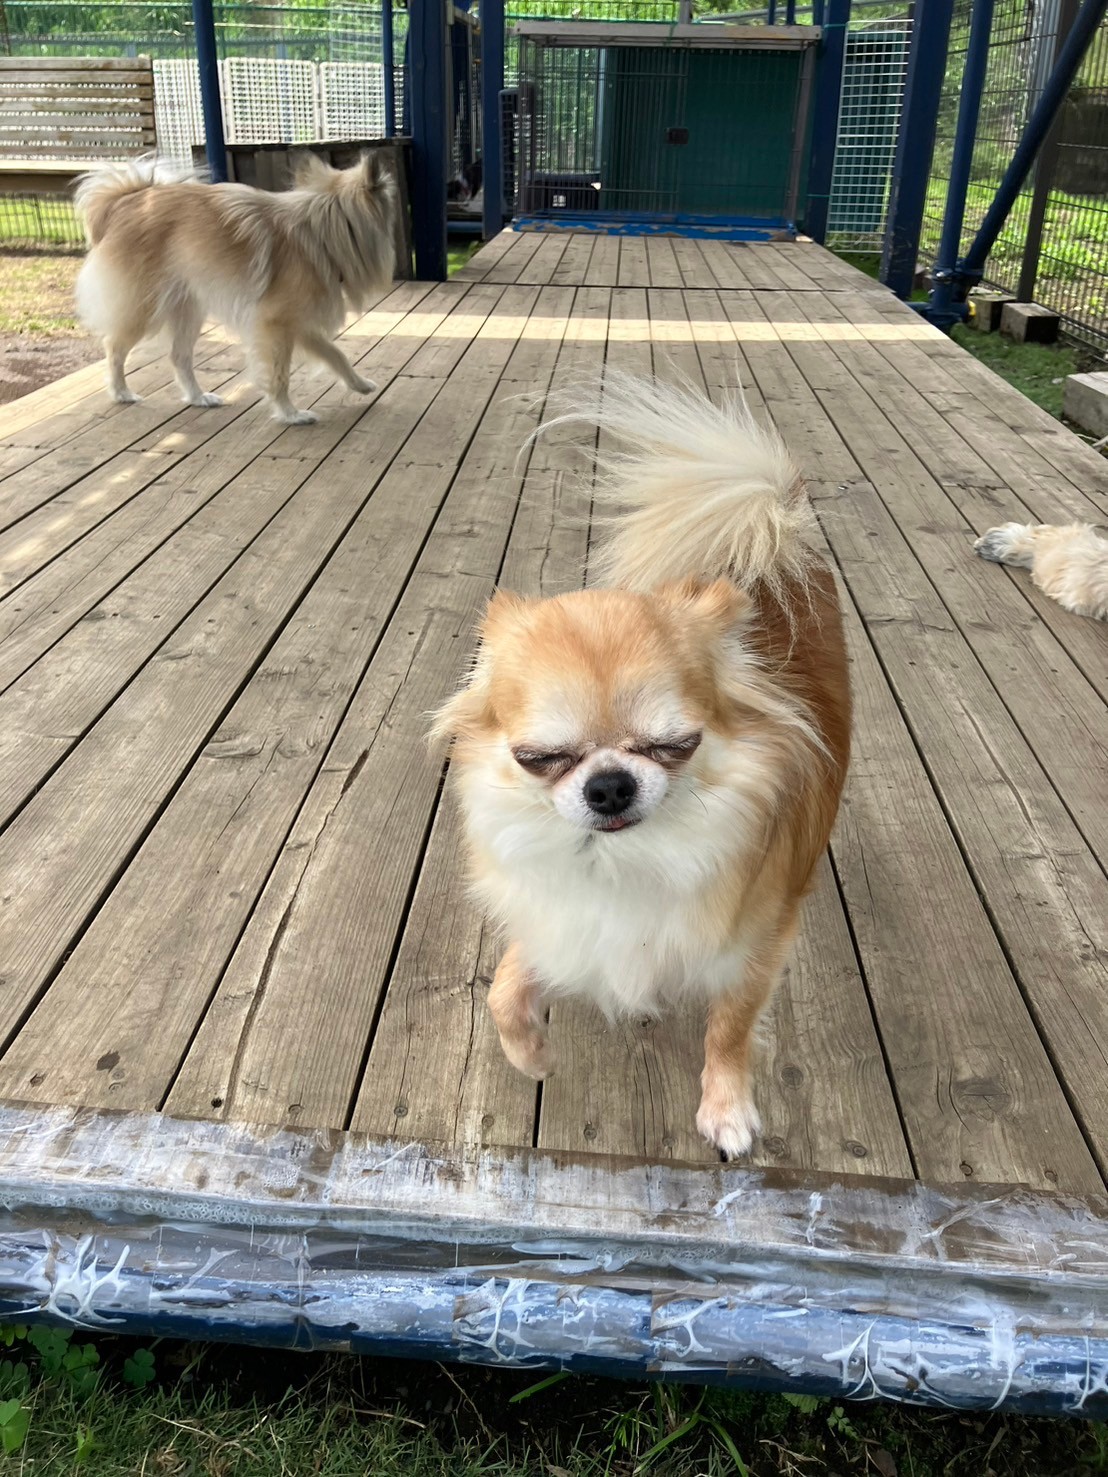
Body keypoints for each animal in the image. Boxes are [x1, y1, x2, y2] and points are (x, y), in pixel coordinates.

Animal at [74, 152, 397, 425]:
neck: (323, 232)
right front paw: (290, 413)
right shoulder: (276, 325)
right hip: (145, 307)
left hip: (188, 310)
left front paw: (360, 384)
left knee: (179, 356)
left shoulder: (298, 323)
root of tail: (126, 200)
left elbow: (335, 354)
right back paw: (121, 393)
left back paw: (198, 397)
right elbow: (280, 375)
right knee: (115, 347)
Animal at [432, 376, 851, 1157]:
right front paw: (534, 1056)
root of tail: (765, 525)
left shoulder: (753, 947)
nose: (608, 785)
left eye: (673, 744)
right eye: (542, 758)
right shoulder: (562, 921)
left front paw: (727, 1109)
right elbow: (502, 992)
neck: (619, 862)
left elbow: (729, 1029)